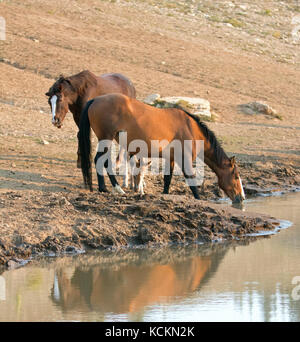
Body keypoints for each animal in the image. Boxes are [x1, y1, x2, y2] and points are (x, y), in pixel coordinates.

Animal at [78, 93, 245, 203]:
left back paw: (104, 188)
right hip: (106, 138)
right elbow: (191, 181)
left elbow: (167, 179)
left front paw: (165, 194)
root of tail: (96, 99)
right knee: (101, 161)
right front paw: (198, 198)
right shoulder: (184, 160)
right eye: (236, 176)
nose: (242, 197)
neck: (190, 128)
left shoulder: (170, 159)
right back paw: (116, 188)